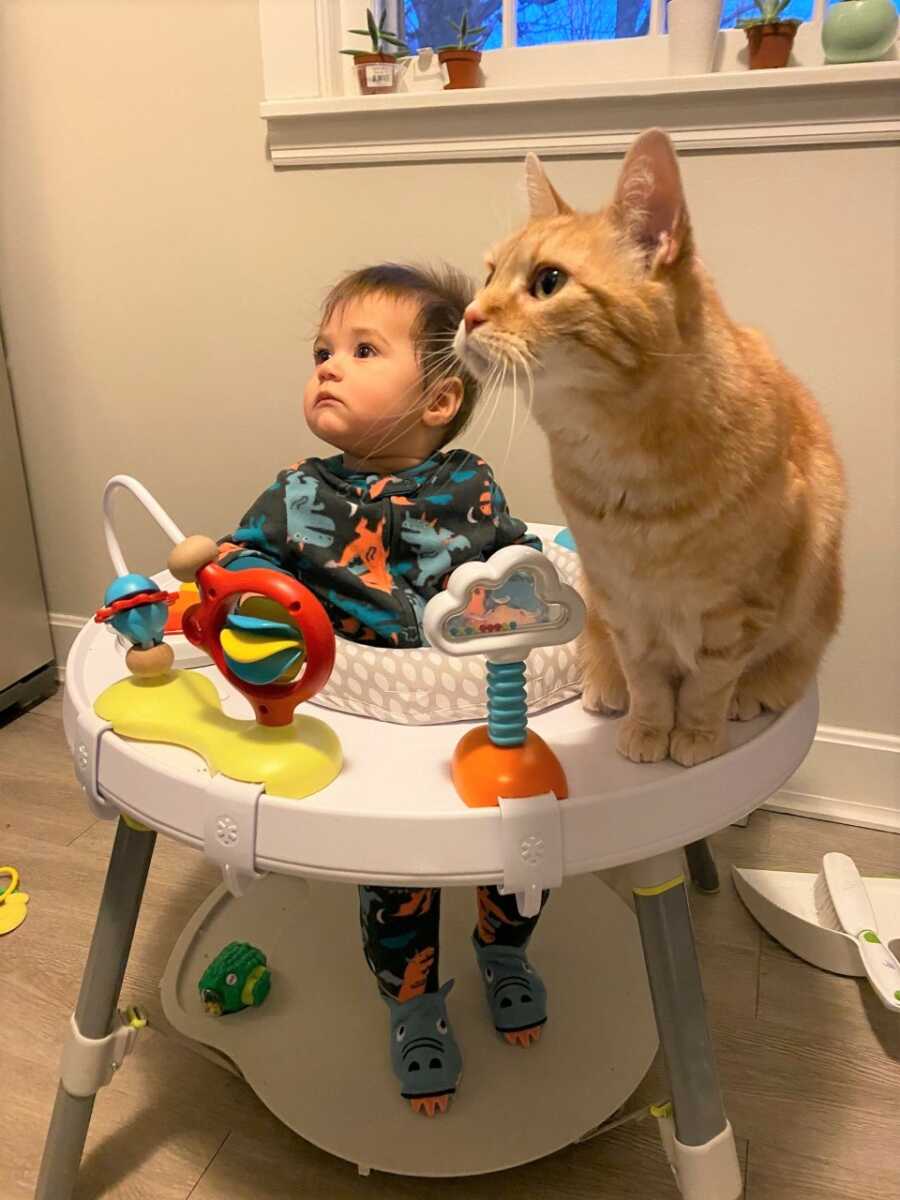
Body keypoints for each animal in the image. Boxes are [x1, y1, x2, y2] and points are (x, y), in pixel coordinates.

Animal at [458, 131, 844, 768]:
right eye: (487, 276)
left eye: (548, 281)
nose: (467, 315)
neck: (626, 464)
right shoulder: (623, 604)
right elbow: (646, 678)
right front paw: (647, 725)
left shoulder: (737, 610)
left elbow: (709, 683)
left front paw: (697, 735)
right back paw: (606, 686)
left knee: (781, 665)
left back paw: (752, 695)